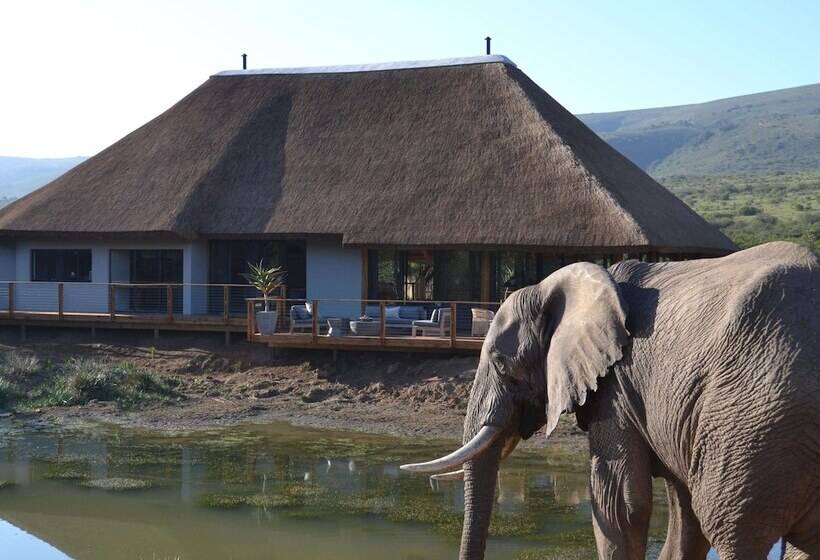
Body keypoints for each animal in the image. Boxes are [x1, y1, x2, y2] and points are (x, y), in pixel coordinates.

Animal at [402, 241, 819, 560]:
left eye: (502, 365)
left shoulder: (617, 385)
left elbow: (620, 505)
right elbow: (683, 516)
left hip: (753, 422)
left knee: (733, 530)